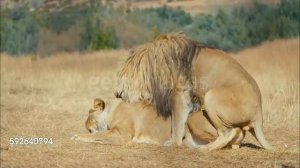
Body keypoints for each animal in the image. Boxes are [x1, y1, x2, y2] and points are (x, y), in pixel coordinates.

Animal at [72, 98, 244, 148]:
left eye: (89, 114)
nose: (85, 124)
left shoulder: (122, 135)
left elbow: (97, 135)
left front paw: (76, 136)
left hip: (192, 118)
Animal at [115, 32, 274, 150]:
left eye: (122, 77)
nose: (117, 93)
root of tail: (259, 114)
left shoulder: (179, 95)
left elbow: (177, 124)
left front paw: (173, 143)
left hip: (211, 96)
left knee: (226, 133)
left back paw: (203, 149)